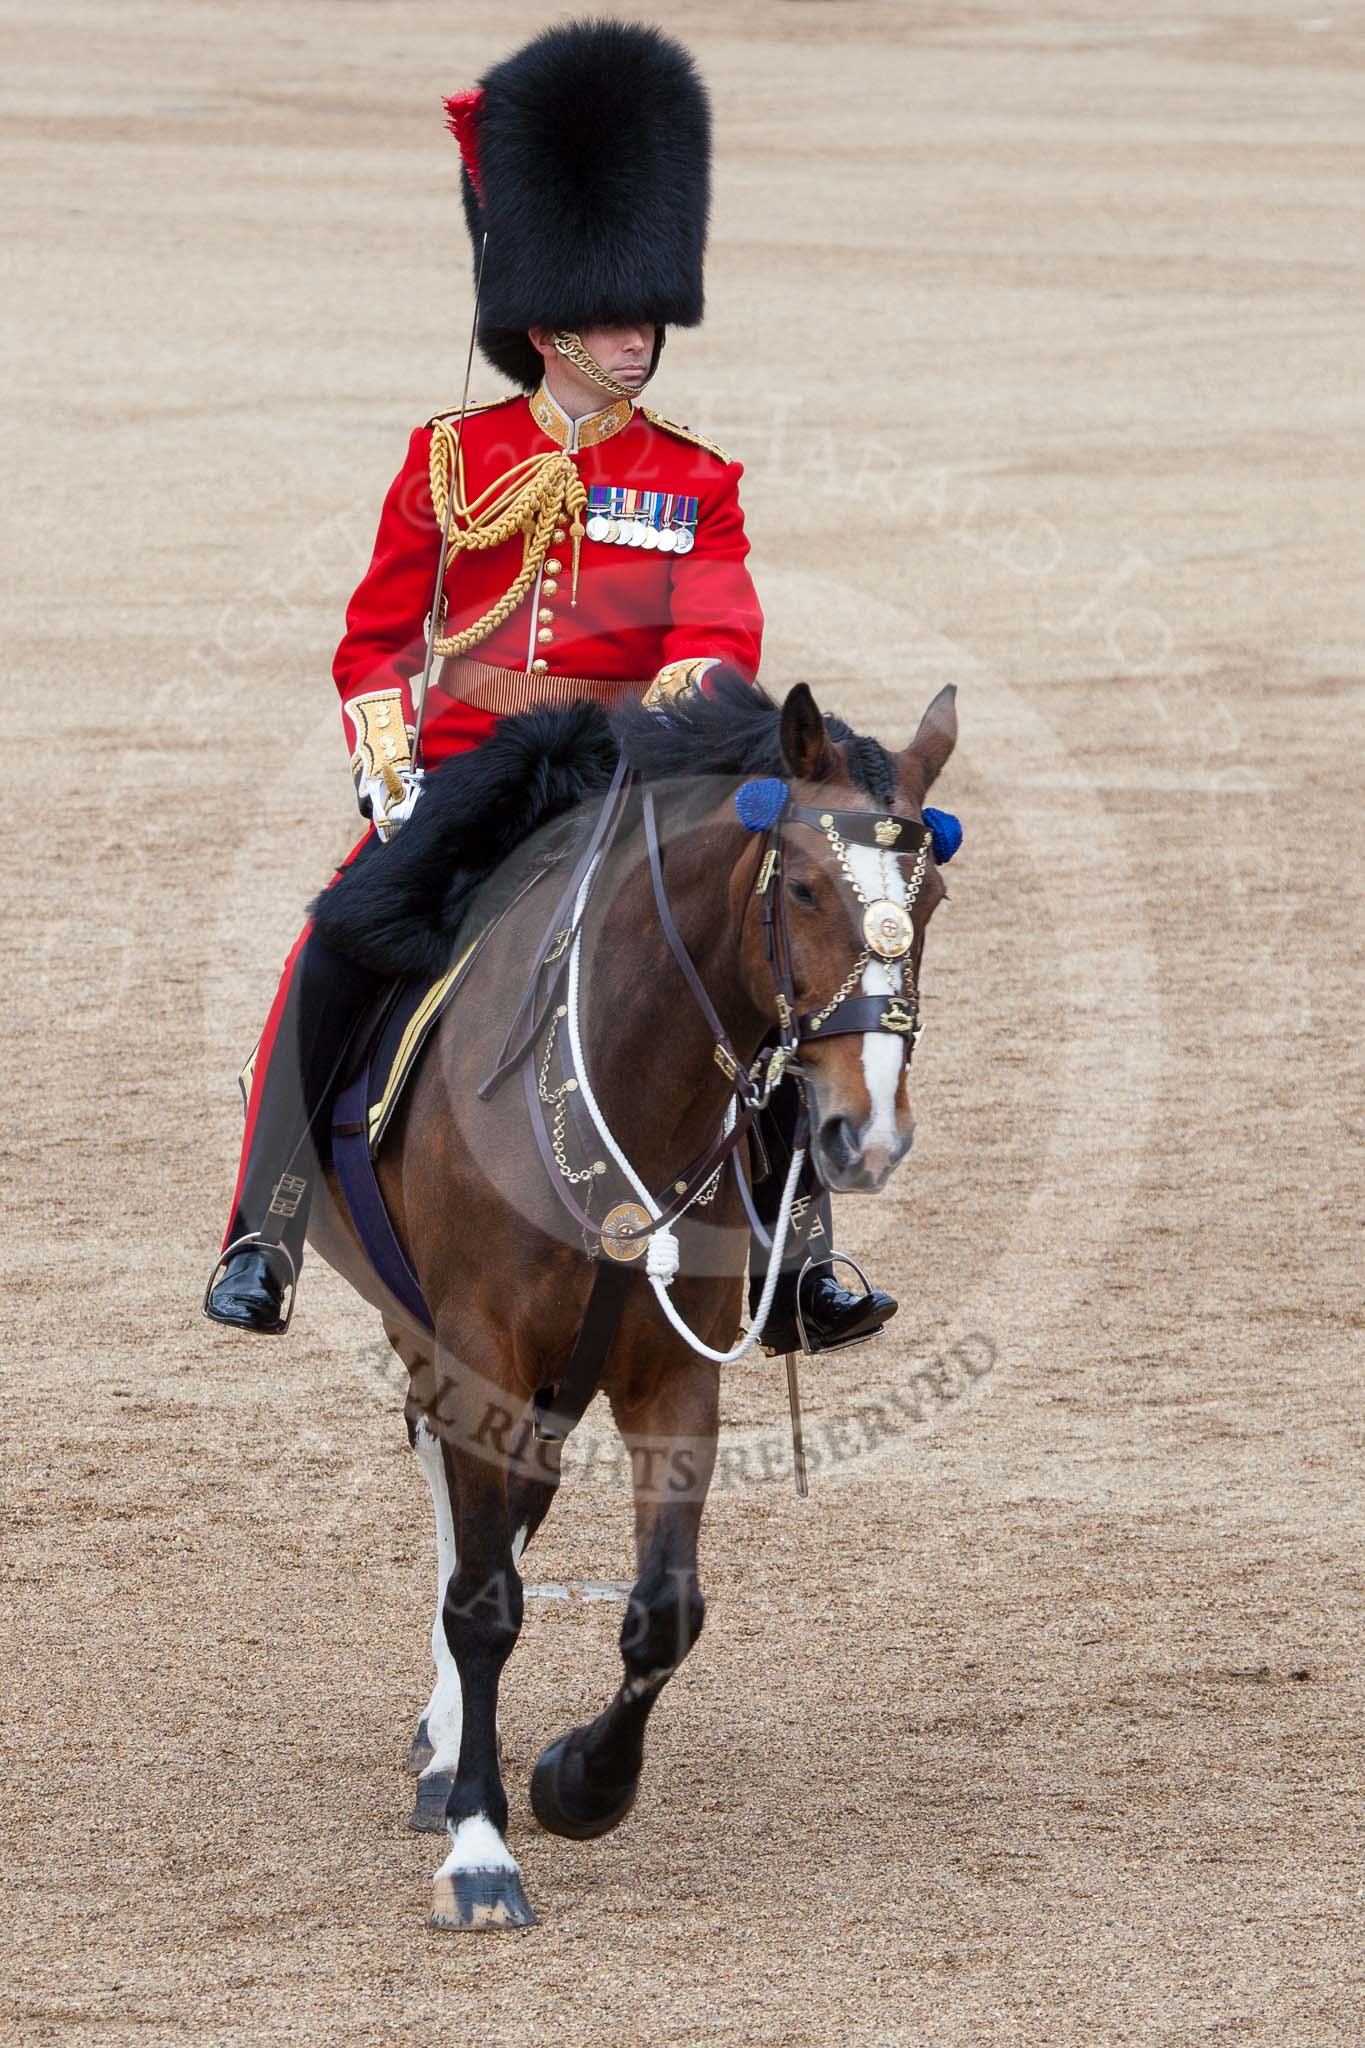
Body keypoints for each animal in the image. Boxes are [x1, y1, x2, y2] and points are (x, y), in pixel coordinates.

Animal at [309, 673, 959, 1930]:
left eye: (934, 895)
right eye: (804, 886)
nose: (867, 1134)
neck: (625, 1066)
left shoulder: (670, 1372)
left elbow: (666, 1603)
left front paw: (580, 1780)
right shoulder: (480, 1346)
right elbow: (483, 1599)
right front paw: (478, 1848)